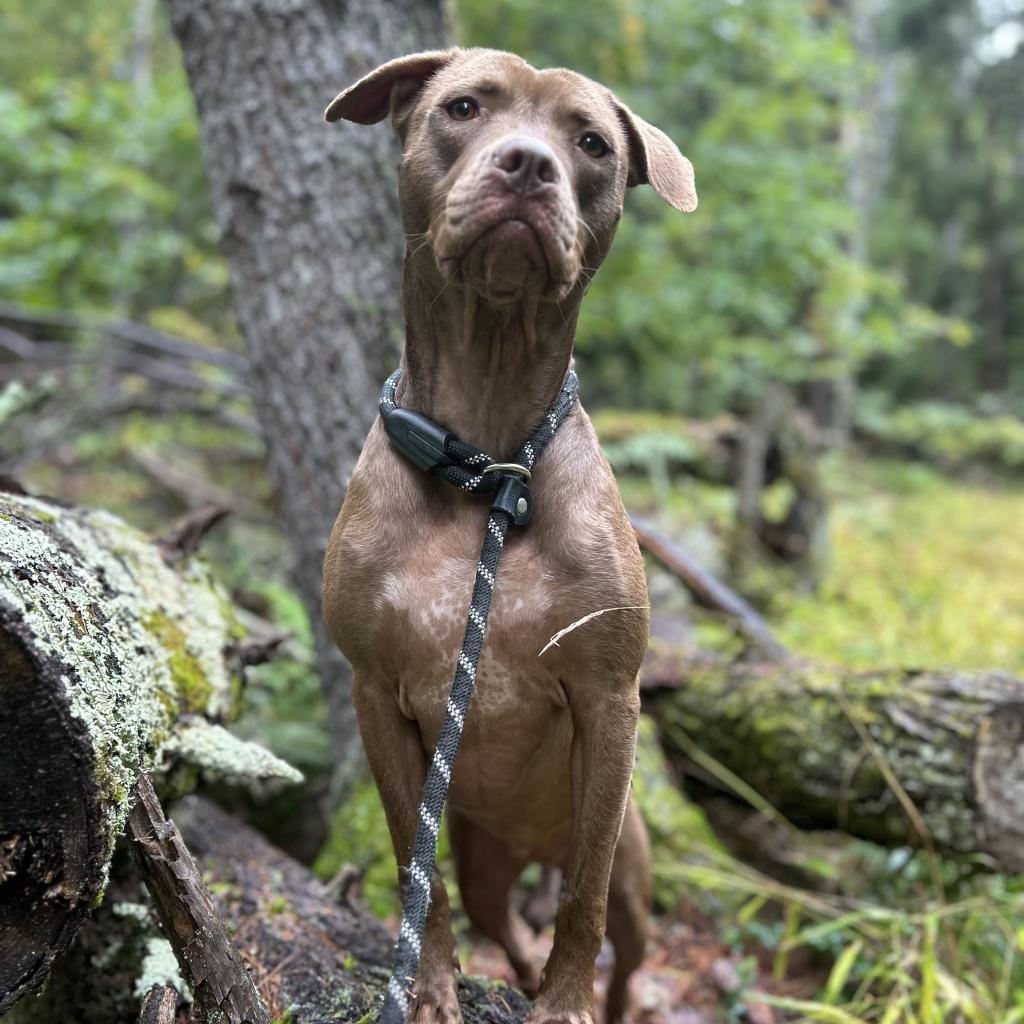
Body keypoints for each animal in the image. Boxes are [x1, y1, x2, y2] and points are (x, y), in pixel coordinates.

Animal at [323, 49, 700, 1024]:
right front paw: (426, 993)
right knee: (499, 920)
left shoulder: (608, 700)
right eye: (463, 108)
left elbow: (584, 901)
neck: (486, 465)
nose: (529, 165)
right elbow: (418, 881)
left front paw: (566, 1005)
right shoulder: (377, 695)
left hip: (633, 872)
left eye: (592, 143)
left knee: (618, 943)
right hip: (485, 860)